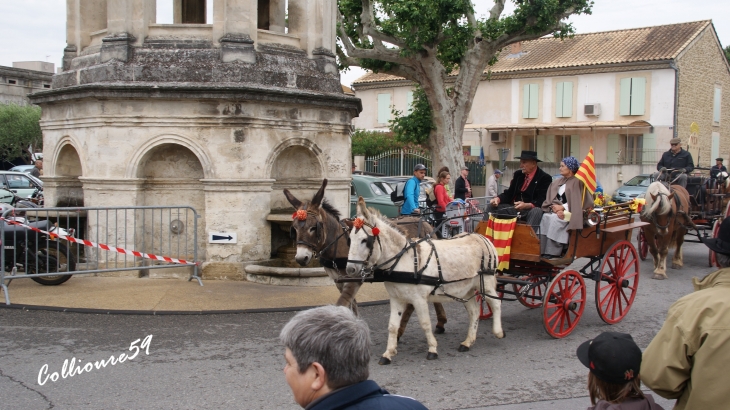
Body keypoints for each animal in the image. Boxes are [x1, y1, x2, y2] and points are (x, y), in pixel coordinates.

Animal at [346, 197, 504, 364]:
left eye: (365, 240)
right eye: (350, 239)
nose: (350, 270)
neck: (403, 260)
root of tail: (482, 238)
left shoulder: (419, 299)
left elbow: (425, 323)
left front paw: (432, 349)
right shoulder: (396, 298)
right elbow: (392, 326)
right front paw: (388, 353)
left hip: (486, 283)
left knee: (495, 303)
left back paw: (498, 331)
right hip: (466, 289)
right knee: (474, 312)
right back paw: (467, 342)